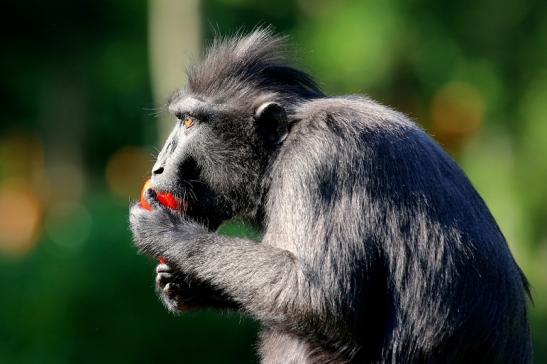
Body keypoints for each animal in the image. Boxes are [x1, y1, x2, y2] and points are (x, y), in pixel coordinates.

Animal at [128, 29, 532, 364]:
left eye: (189, 122)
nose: (159, 167)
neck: (284, 141)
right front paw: (184, 281)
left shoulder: (318, 160)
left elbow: (322, 303)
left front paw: (172, 234)